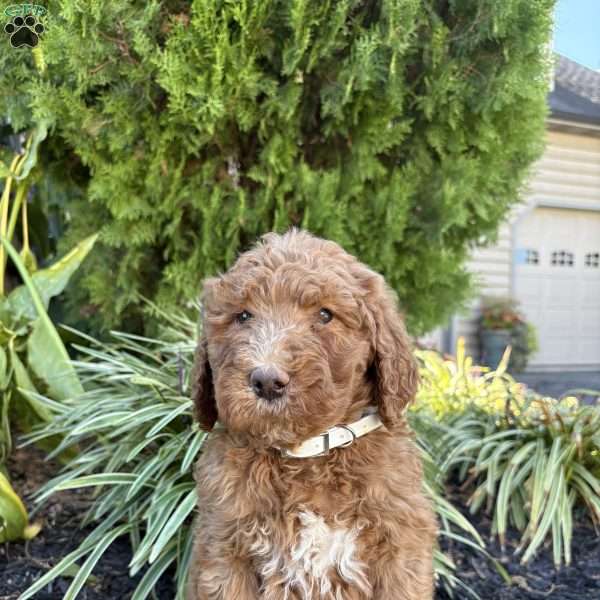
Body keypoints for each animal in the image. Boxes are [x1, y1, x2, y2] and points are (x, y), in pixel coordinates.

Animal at [188, 230, 436, 600]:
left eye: (325, 315)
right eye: (243, 316)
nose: (266, 380)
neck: (307, 455)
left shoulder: (402, 547)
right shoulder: (223, 546)